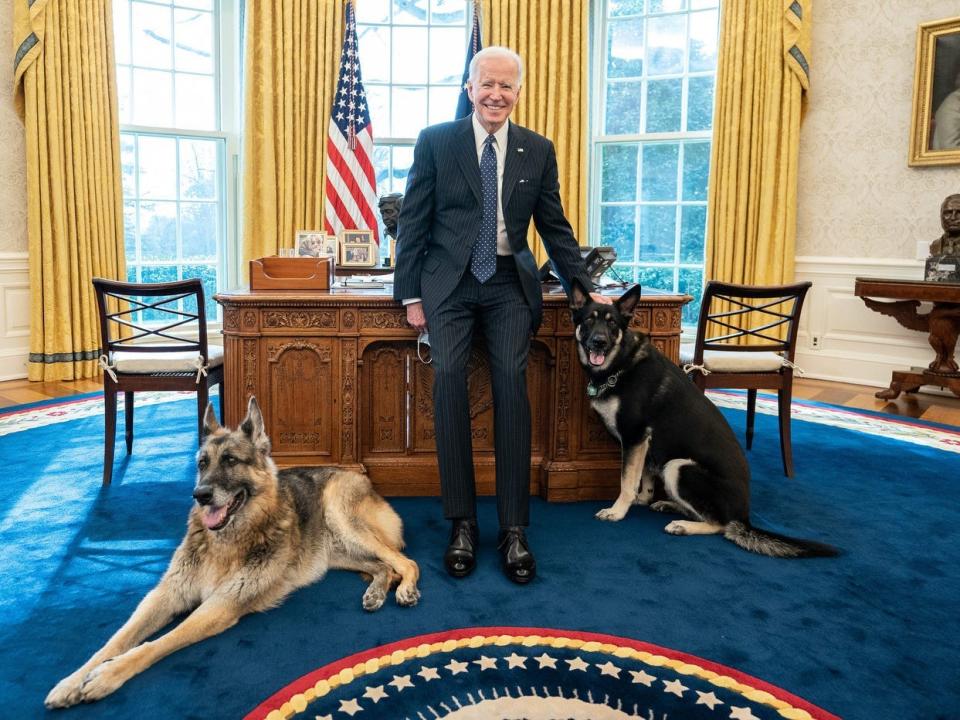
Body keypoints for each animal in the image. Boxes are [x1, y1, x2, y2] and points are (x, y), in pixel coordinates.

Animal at [46, 396, 420, 704]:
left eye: (230, 460)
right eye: (202, 463)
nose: (200, 495)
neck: (226, 541)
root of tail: (361, 477)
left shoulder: (221, 605)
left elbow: (157, 643)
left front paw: (109, 673)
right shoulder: (166, 595)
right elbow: (116, 640)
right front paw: (72, 680)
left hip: (343, 519)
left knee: (405, 562)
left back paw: (405, 590)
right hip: (337, 553)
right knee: (383, 567)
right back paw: (376, 592)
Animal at [572, 280, 836, 556]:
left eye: (612, 323)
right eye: (589, 320)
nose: (599, 342)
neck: (621, 363)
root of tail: (744, 517)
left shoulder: (635, 438)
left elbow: (627, 481)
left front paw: (618, 510)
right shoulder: (644, 445)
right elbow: (644, 476)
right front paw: (643, 498)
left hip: (679, 467)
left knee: (720, 525)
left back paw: (683, 525)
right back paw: (671, 505)